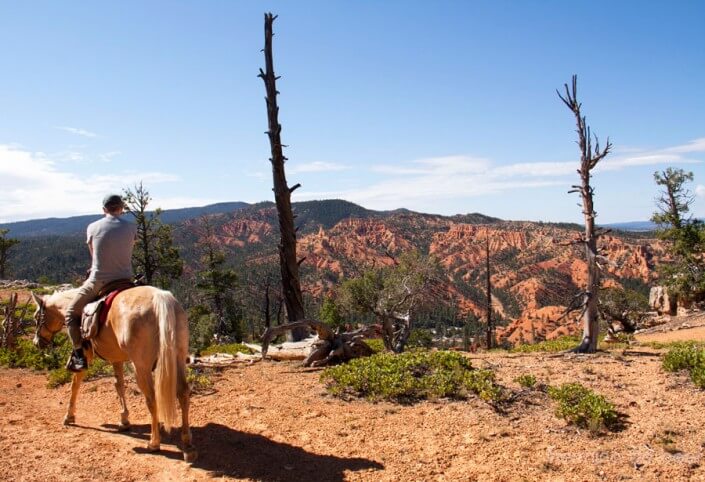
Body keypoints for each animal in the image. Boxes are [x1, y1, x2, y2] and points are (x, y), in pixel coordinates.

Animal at [30, 288, 195, 462]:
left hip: (141, 367)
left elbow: (75, 384)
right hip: (178, 359)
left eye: (36, 317)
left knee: (152, 399)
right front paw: (124, 420)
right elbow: (119, 385)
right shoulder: (117, 359)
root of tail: (160, 297)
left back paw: (154, 443)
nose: (36, 342)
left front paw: (69, 416)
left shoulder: (86, 354)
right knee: (183, 393)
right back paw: (187, 444)